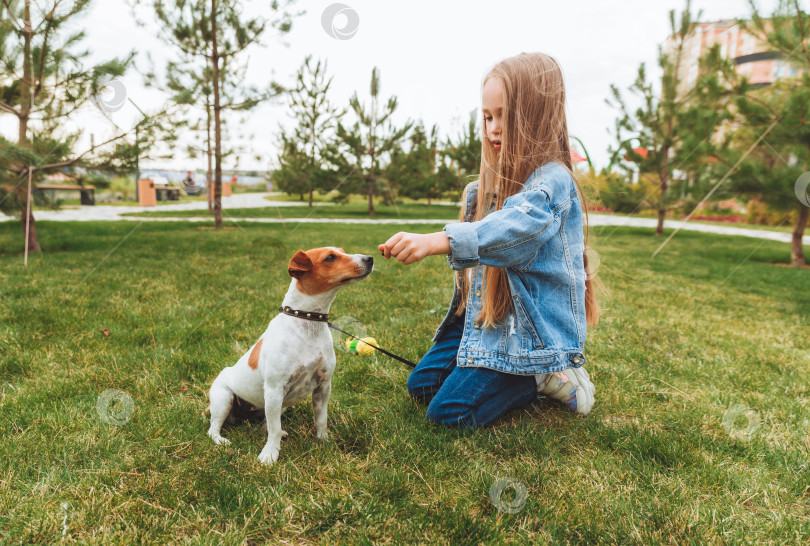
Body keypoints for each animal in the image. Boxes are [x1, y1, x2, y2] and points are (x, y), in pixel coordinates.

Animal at [207, 246, 374, 464]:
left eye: (343, 251)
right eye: (330, 257)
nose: (370, 258)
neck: (307, 321)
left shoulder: (323, 386)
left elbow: (320, 420)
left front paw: (324, 441)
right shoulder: (275, 388)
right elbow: (274, 429)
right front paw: (269, 455)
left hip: (277, 404)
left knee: (267, 423)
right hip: (224, 398)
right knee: (215, 428)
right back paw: (221, 440)